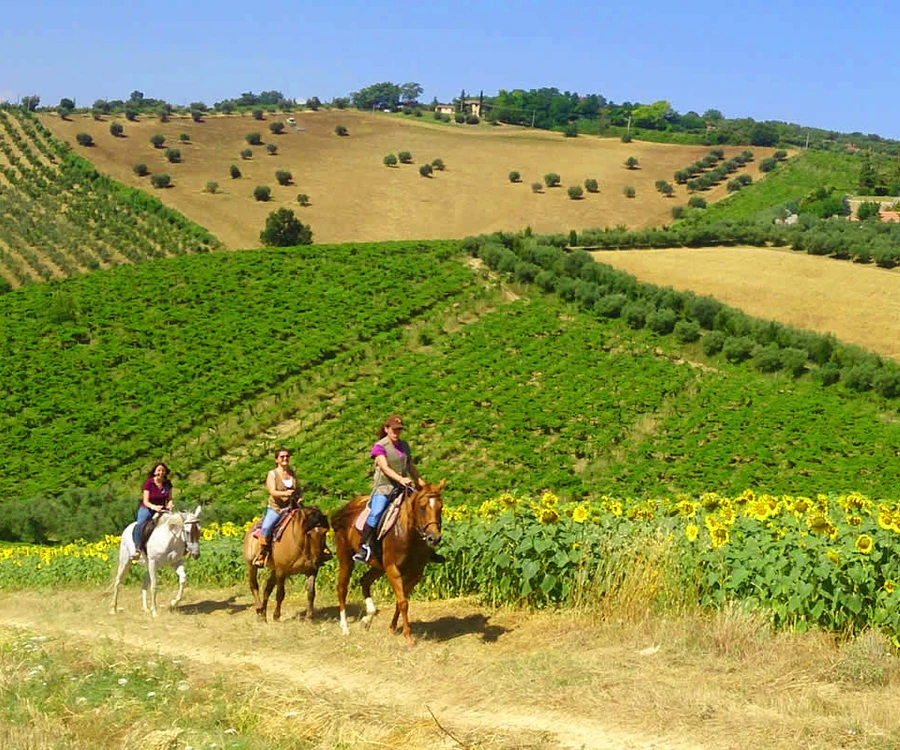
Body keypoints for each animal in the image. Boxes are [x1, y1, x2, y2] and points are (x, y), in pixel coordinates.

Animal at [332, 482, 444, 648]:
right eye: (422, 507)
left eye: (440, 507)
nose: (434, 538)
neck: (408, 533)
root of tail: (346, 508)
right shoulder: (393, 570)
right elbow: (403, 602)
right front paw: (408, 637)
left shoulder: (415, 573)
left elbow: (401, 600)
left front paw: (392, 628)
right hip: (345, 557)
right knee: (342, 588)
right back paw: (345, 627)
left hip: (378, 566)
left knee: (364, 581)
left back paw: (367, 618)